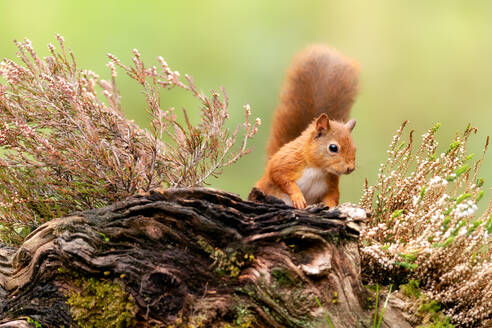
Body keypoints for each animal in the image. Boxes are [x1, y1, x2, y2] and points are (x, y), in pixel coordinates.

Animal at [254, 44, 358, 209]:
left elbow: (332, 196)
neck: (318, 169)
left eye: (355, 148)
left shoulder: (331, 182)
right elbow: (279, 176)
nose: (350, 168)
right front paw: (297, 197)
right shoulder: (286, 162)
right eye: (333, 148)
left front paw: (331, 208)